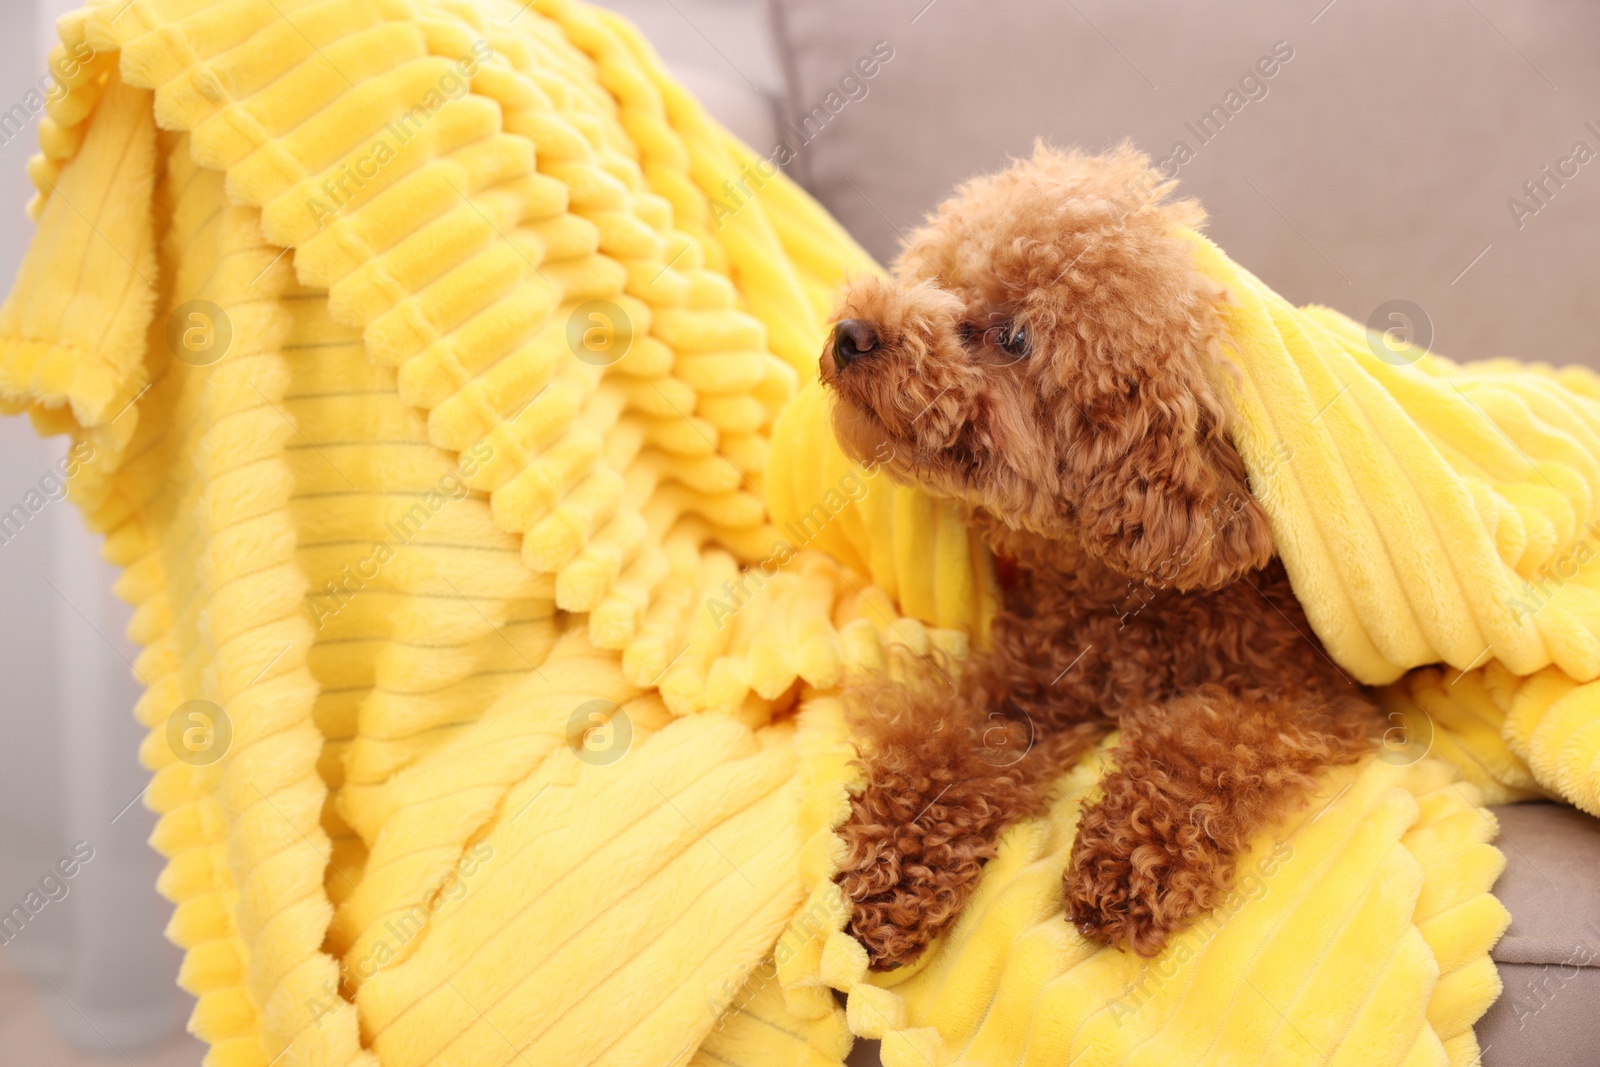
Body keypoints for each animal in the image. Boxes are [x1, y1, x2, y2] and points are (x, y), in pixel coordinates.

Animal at [825, 141, 1376, 966]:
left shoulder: (1308, 694)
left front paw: (1127, 859)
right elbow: (953, 744)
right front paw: (889, 867)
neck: (1119, 594)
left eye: (1014, 337)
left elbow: (1202, 738)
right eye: (936, 280)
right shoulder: (1029, 686)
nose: (852, 331)